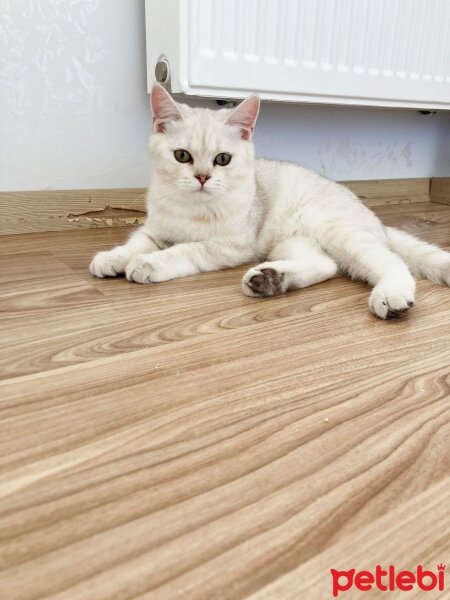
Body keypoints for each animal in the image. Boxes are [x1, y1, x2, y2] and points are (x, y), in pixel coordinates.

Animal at [89, 85, 448, 318]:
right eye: (181, 156)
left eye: (222, 159)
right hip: (289, 243)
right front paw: (113, 257)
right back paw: (271, 280)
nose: (202, 177)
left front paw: (150, 264)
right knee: (326, 265)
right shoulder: (155, 230)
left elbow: (186, 250)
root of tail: (375, 220)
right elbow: (136, 243)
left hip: (340, 233)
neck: (191, 208)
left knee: (390, 262)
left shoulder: (231, 245)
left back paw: (391, 294)